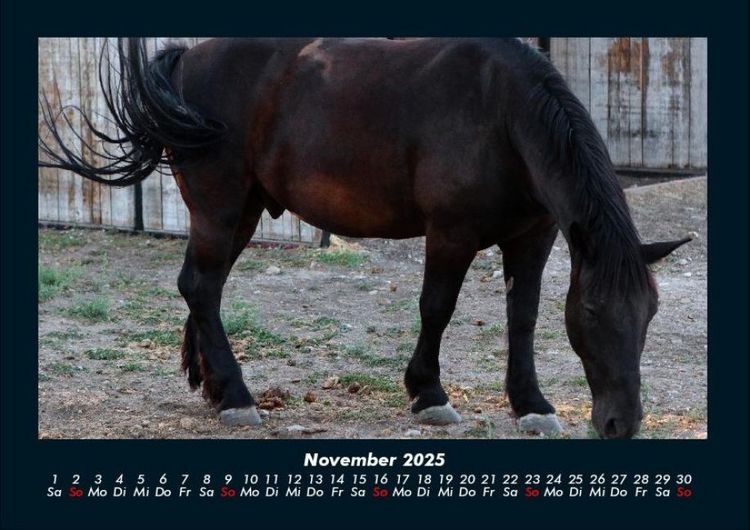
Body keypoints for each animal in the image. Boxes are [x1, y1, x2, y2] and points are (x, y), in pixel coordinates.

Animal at [39, 38, 690, 439]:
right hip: (220, 209)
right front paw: (429, 395)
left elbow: (523, 317)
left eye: (650, 314)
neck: (502, 114)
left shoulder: (535, 237)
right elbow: (437, 308)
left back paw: (214, 387)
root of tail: (185, 60)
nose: (621, 424)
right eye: (594, 312)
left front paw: (531, 405)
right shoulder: (449, 235)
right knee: (200, 286)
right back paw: (237, 397)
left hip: (240, 213)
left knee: (203, 287)